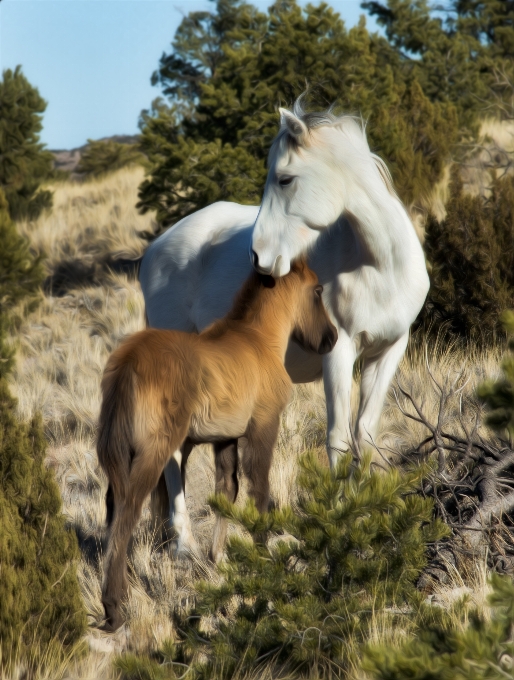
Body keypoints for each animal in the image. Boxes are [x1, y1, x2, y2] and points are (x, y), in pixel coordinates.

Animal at [97, 258, 336, 628]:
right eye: (318, 290)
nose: (330, 338)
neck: (258, 340)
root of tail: (128, 363)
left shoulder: (225, 439)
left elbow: (226, 492)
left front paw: (216, 558)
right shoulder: (263, 427)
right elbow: (260, 491)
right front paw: (262, 555)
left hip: (122, 452)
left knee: (112, 507)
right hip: (154, 451)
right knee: (128, 510)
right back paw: (115, 606)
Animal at [139, 98, 428, 548]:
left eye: (285, 178)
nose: (259, 259)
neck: (379, 265)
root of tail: (154, 249)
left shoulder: (389, 351)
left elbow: (364, 435)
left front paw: (363, 516)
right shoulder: (339, 352)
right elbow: (337, 438)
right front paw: (339, 520)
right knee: (171, 454)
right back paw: (184, 545)